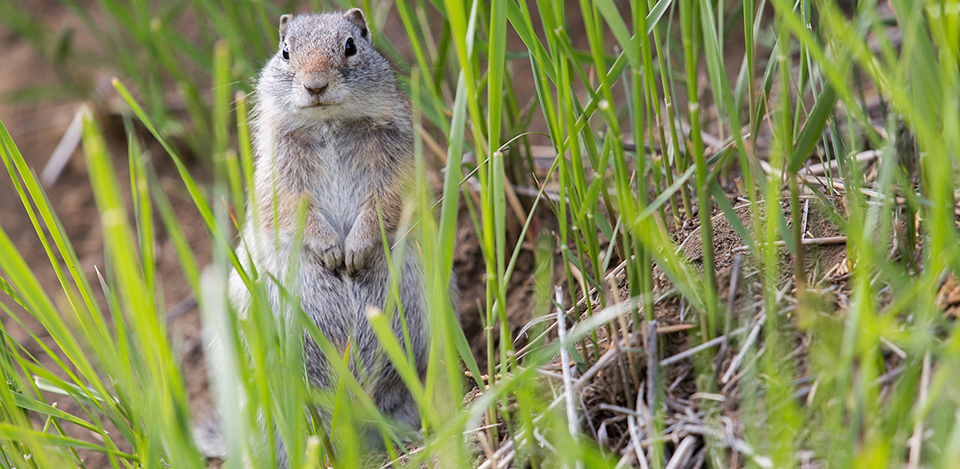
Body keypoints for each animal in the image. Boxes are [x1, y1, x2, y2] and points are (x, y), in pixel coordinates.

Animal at [207, 8, 441, 463]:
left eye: (351, 45)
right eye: (285, 51)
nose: (315, 85)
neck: (328, 122)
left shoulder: (397, 168)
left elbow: (384, 202)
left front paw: (355, 251)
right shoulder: (278, 178)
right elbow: (292, 210)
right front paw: (333, 252)